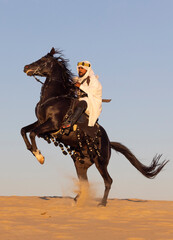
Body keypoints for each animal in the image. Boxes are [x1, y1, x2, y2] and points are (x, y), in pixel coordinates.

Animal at [21, 47, 168, 206]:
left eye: (44, 60)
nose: (26, 67)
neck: (53, 98)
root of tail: (109, 143)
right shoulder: (40, 122)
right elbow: (24, 131)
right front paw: (33, 151)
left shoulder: (52, 124)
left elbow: (32, 133)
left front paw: (39, 156)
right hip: (81, 163)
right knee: (85, 183)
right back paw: (76, 200)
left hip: (100, 162)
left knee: (108, 181)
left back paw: (101, 203)